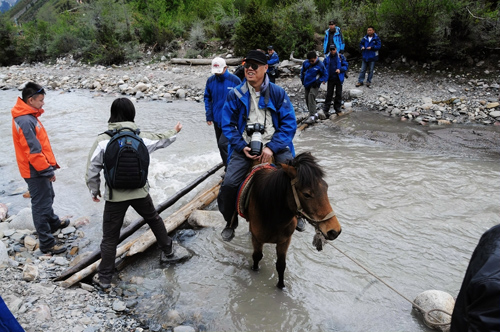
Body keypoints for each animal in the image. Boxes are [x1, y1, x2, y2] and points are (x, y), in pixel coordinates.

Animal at [244, 152, 342, 290]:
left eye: (326, 187)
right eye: (306, 194)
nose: (334, 231)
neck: (273, 218)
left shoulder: (285, 241)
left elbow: (281, 265)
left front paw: (281, 287)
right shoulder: (257, 240)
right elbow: (257, 257)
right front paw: (255, 272)